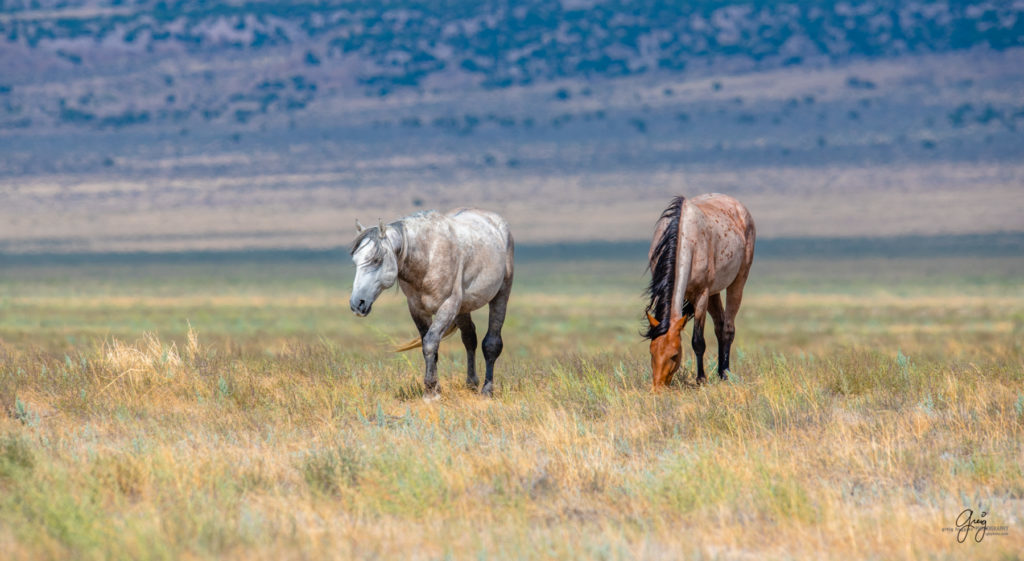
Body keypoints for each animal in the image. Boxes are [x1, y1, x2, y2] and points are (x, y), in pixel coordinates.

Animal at [352, 207, 516, 397]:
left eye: (376, 260)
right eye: (355, 261)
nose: (357, 304)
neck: (428, 258)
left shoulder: (448, 306)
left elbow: (430, 343)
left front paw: (430, 392)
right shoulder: (417, 309)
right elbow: (429, 345)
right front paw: (435, 389)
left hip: (501, 294)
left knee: (491, 343)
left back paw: (487, 390)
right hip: (463, 309)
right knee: (469, 339)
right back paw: (471, 383)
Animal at [643, 192, 757, 384]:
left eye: (674, 355)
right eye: (651, 352)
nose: (658, 386)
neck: (686, 236)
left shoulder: (701, 294)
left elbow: (698, 341)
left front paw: (701, 379)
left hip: (737, 281)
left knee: (728, 328)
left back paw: (725, 373)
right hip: (714, 292)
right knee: (719, 325)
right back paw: (720, 372)